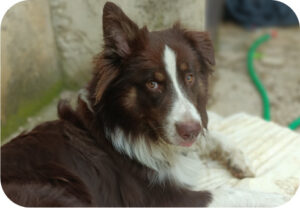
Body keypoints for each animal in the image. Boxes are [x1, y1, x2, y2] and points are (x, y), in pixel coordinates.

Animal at [0, 2, 286, 206]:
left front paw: (236, 158)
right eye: (152, 84)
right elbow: (230, 193)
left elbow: (213, 135)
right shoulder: (160, 199)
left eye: (189, 77)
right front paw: (275, 194)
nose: (190, 131)